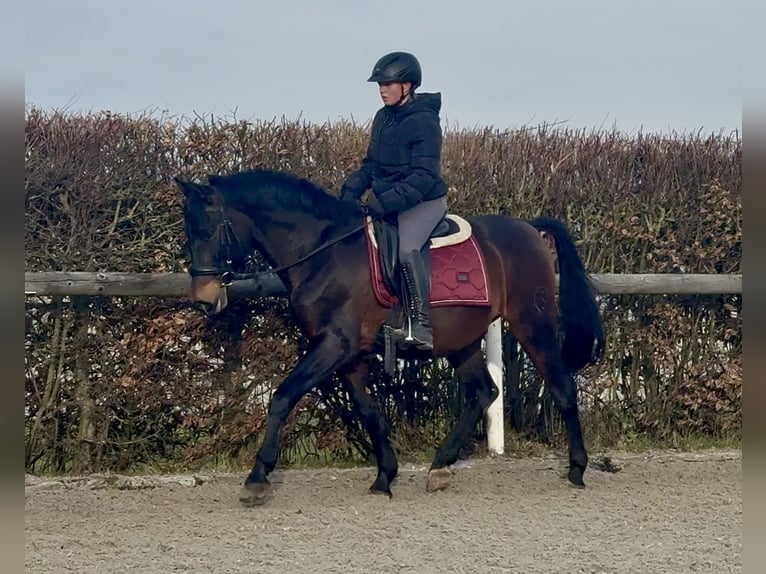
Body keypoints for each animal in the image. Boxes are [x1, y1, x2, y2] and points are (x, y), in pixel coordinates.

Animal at [175, 169, 604, 506]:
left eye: (208, 229)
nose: (204, 300)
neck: (323, 252)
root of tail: (529, 228)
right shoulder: (349, 355)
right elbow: (369, 412)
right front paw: (385, 477)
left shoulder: (334, 344)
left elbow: (282, 397)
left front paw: (257, 478)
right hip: (462, 341)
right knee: (484, 391)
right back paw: (440, 466)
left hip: (532, 324)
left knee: (562, 385)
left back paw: (577, 469)